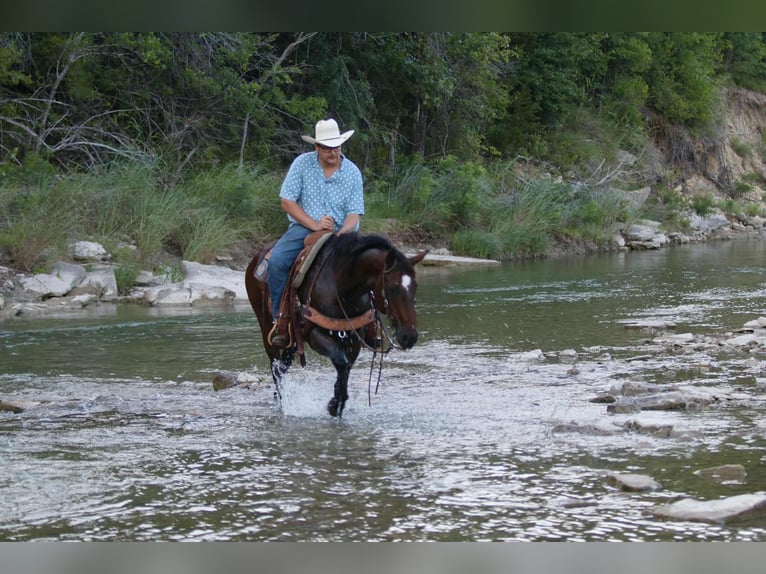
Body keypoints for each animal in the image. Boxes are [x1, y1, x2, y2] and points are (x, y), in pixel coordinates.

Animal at [245, 232, 428, 417]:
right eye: (392, 288)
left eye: (415, 286)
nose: (409, 336)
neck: (341, 285)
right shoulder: (314, 333)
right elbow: (341, 362)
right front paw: (334, 404)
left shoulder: (354, 336)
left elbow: (346, 367)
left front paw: (337, 403)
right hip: (268, 329)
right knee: (276, 366)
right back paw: (283, 401)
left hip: (293, 338)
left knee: (284, 364)